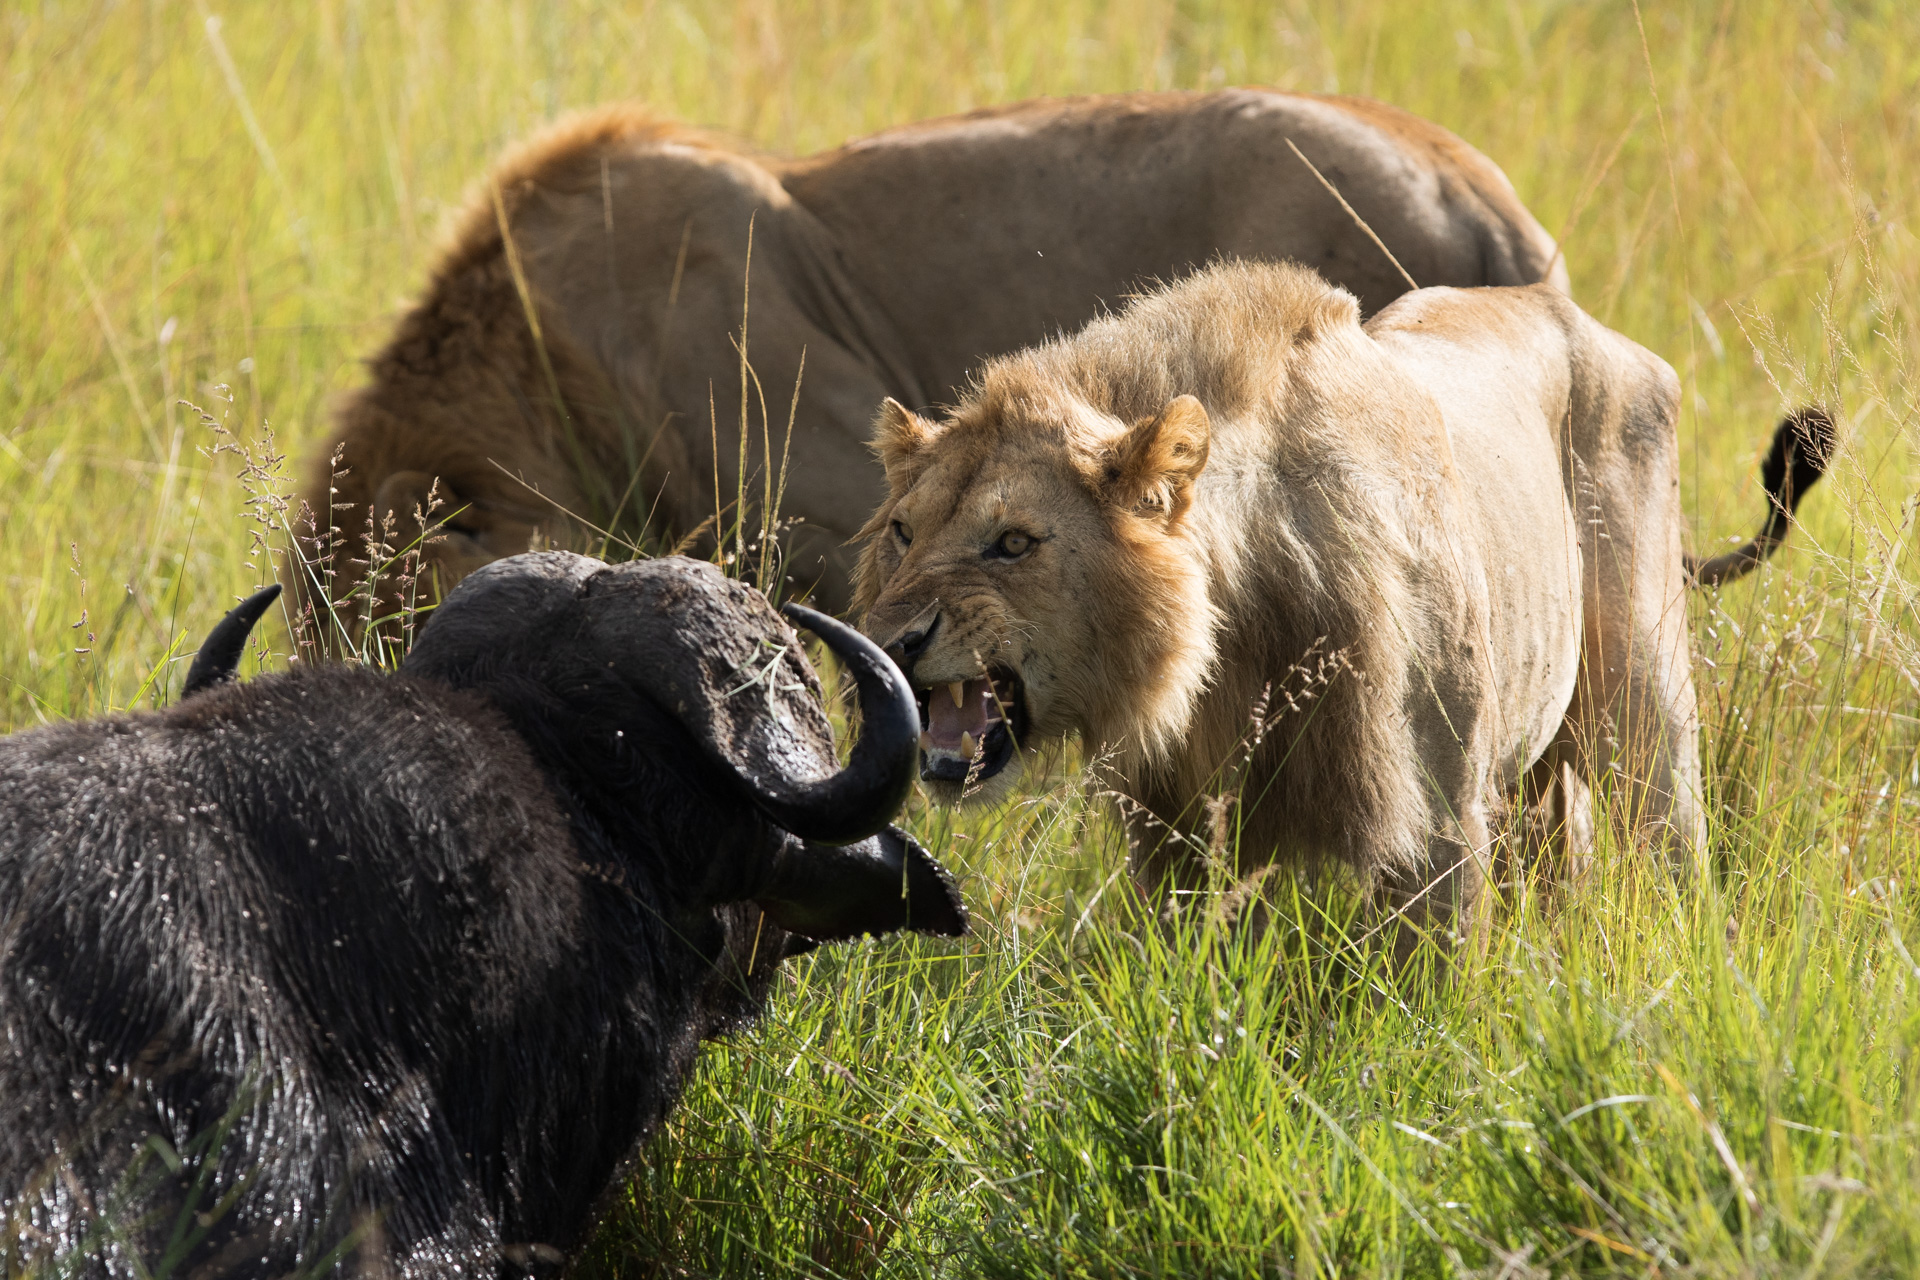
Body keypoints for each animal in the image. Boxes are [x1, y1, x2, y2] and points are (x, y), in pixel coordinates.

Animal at [856, 257, 1827, 932]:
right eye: (904, 531)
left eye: (1014, 543)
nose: (893, 640)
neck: (1226, 647)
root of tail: (1573, 311)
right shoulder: (1182, 837)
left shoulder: (1437, 823)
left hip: (1643, 709)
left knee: (1670, 847)